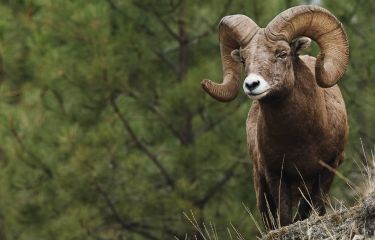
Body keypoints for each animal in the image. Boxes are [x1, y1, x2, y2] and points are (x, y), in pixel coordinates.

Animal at [203, 4, 350, 228]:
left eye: (282, 53)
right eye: (244, 59)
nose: (252, 85)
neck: (303, 139)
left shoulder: (328, 169)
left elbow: (315, 207)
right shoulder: (275, 176)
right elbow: (285, 219)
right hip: (261, 189)